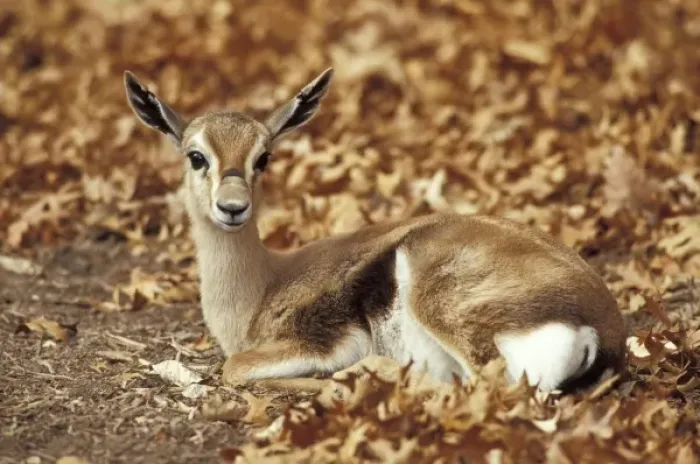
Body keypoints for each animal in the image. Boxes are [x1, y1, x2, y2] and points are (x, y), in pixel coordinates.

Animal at [124, 68, 626, 394]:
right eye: (196, 156)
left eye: (263, 157)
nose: (233, 208)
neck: (260, 290)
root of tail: (602, 325)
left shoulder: (323, 342)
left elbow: (235, 367)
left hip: (442, 306)